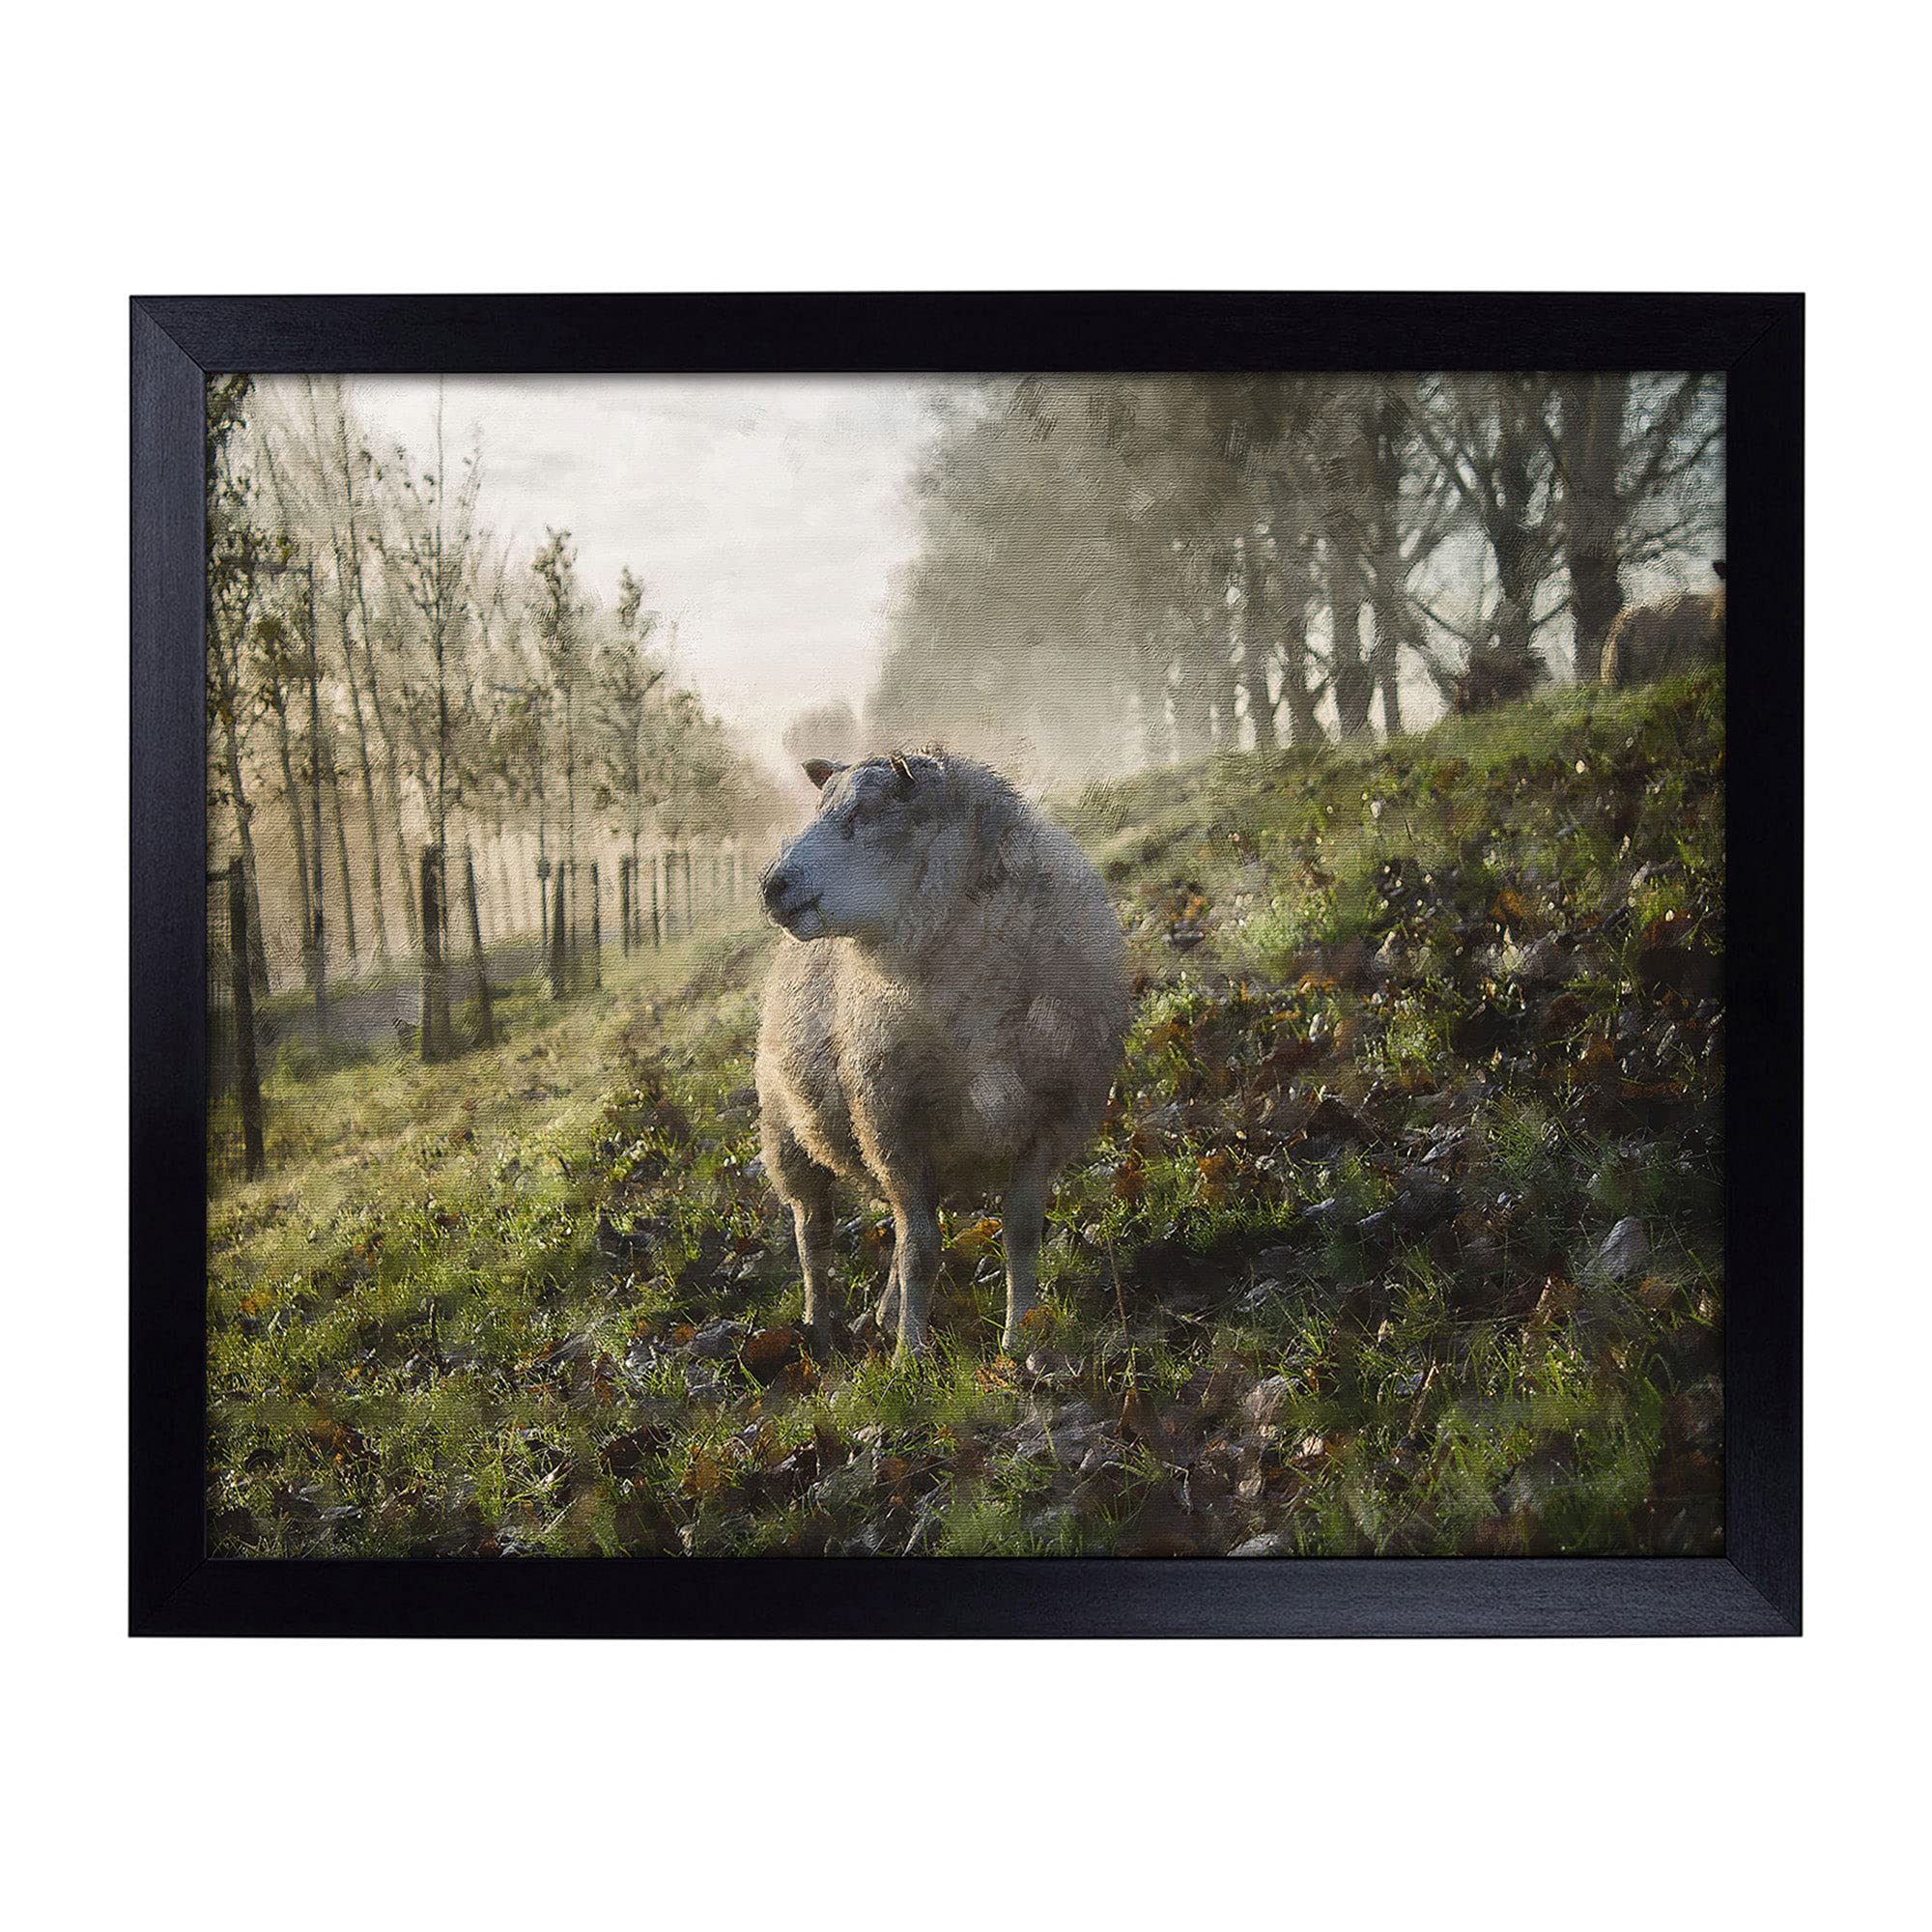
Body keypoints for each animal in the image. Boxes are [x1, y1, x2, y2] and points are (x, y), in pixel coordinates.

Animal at [754, 748, 1129, 1361]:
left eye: (862, 813)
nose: (771, 886)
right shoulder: (893, 1128)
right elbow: (920, 1250)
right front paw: (910, 1356)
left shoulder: (1048, 1123)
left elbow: (1019, 1229)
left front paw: (1019, 1337)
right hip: (788, 1135)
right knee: (814, 1236)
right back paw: (819, 1330)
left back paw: (883, 1313)